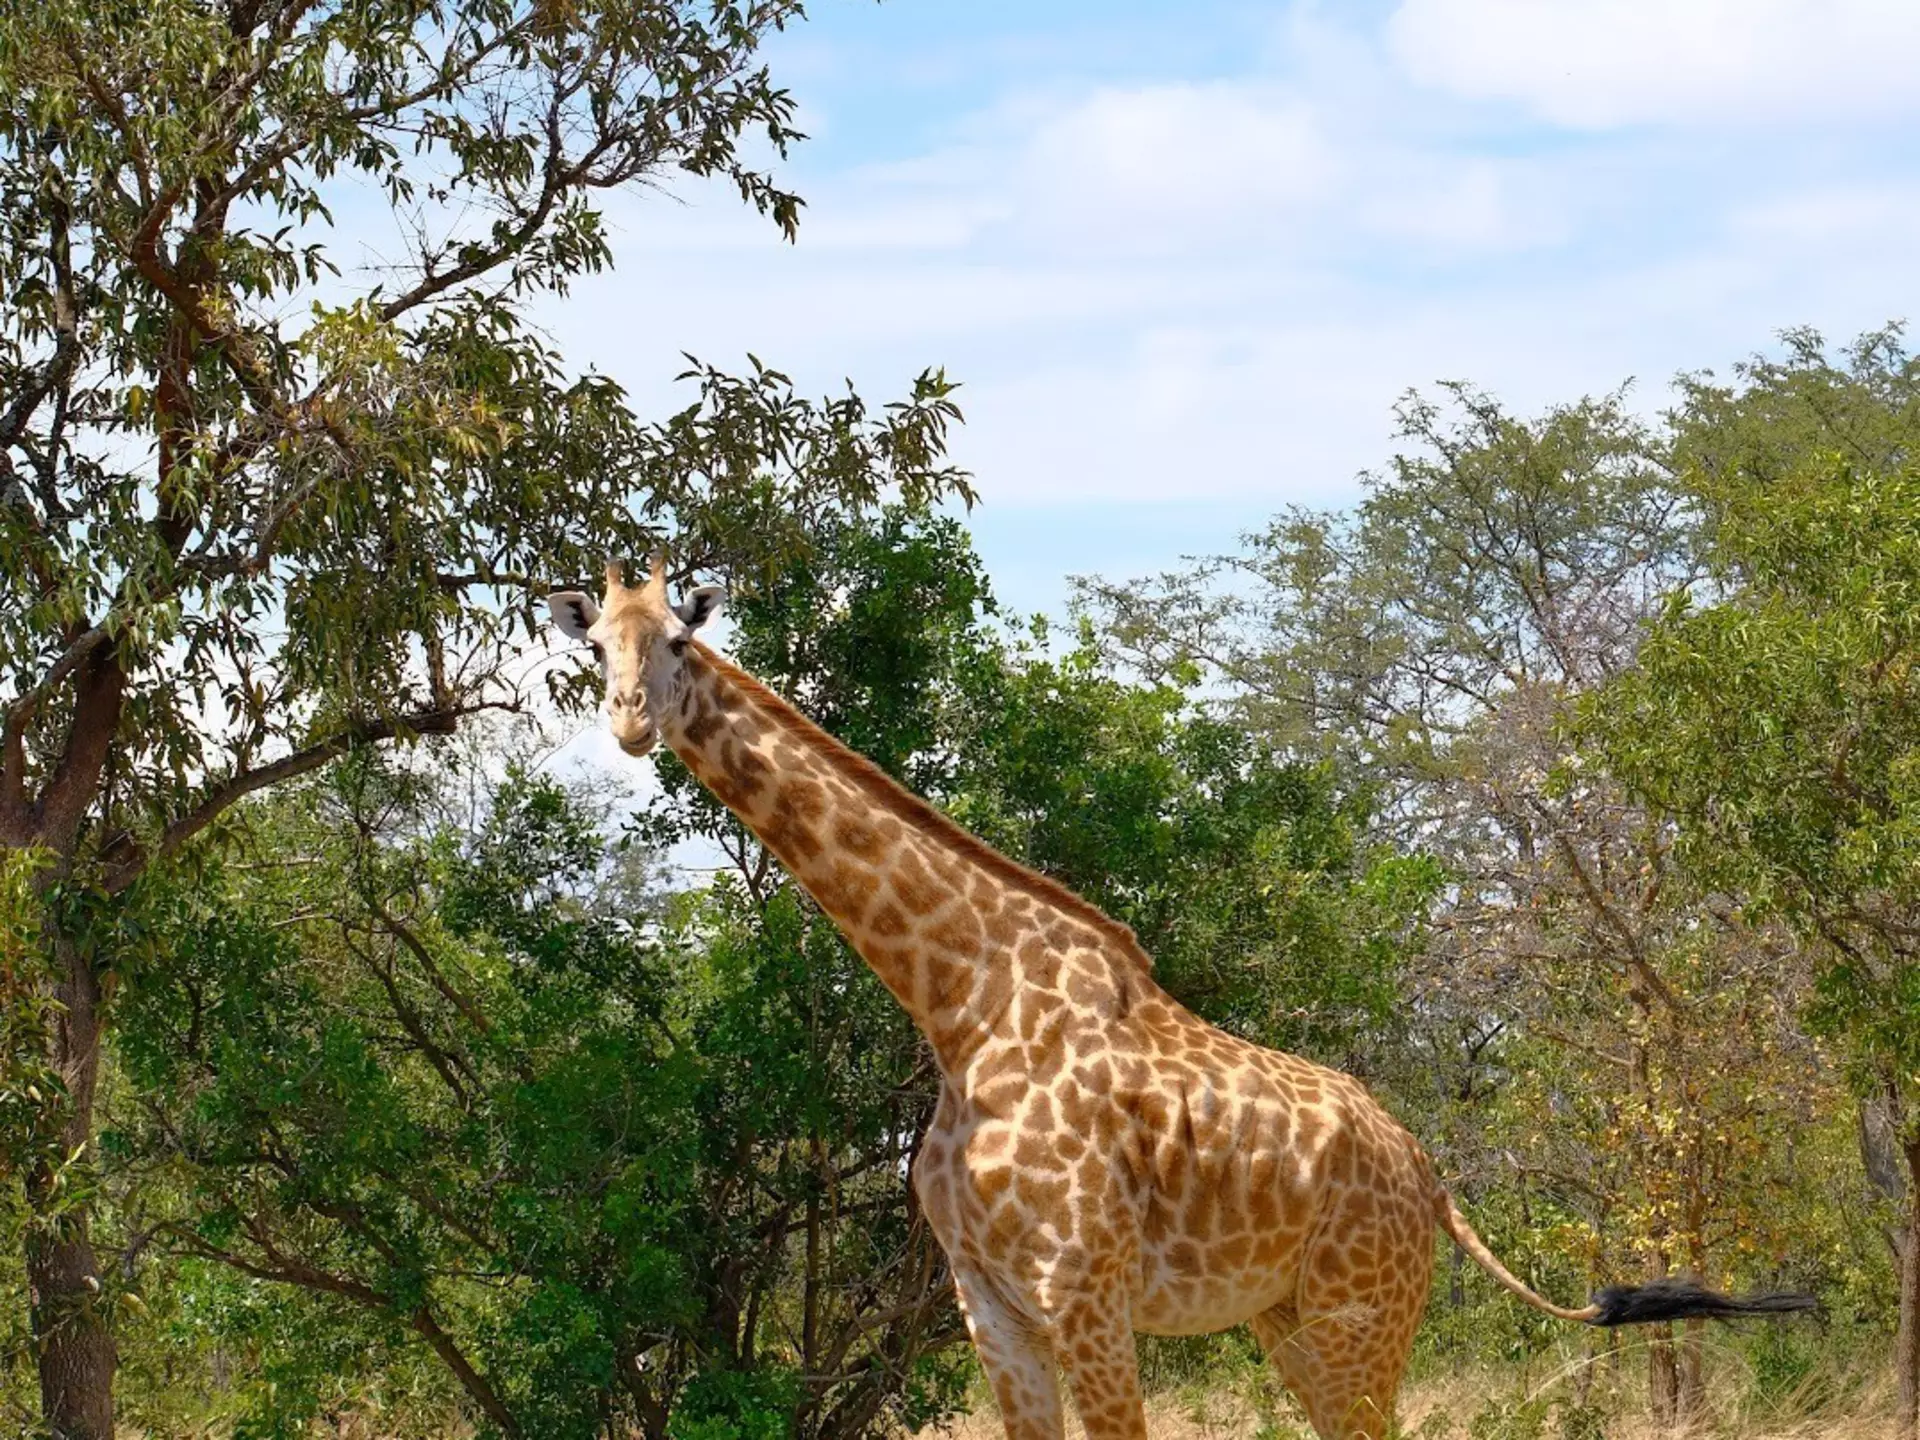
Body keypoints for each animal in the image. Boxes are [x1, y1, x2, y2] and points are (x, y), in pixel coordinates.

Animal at [549, 557, 1816, 1440]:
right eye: (593, 645)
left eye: (677, 638)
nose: (629, 721)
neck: (959, 1008)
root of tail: (1431, 1175)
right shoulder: (988, 1300)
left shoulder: (1086, 1294)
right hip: (1292, 1319)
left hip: (1363, 1313)